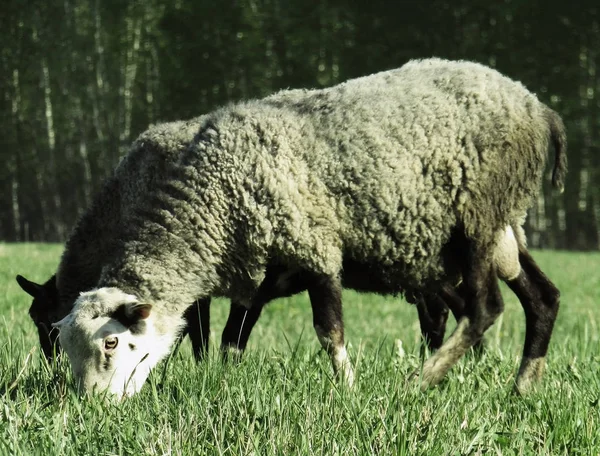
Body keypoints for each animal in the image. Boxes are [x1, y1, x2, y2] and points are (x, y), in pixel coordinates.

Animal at [52, 58, 568, 400]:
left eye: (111, 342)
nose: (93, 405)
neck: (213, 196)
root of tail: (538, 107)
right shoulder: (255, 276)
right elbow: (231, 342)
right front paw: (224, 384)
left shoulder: (314, 248)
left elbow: (328, 332)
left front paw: (348, 391)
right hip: (503, 229)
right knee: (542, 298)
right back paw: (522, 388)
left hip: (478, 219)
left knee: (485, 309)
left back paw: (420, 380)